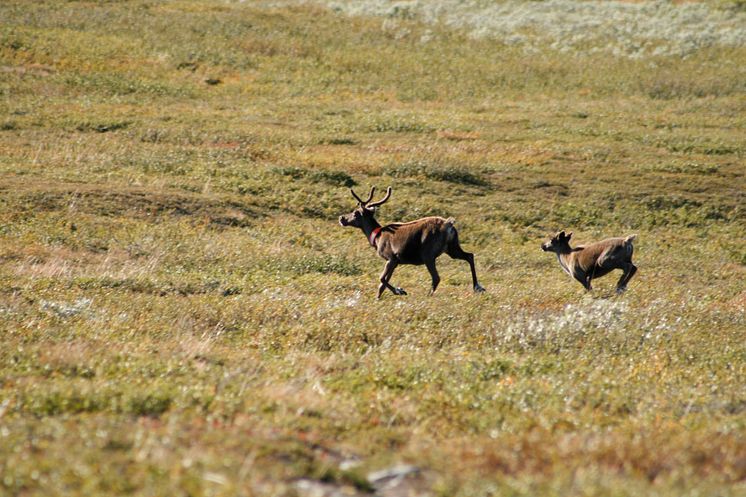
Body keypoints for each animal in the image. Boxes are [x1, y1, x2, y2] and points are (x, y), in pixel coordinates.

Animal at [338, 184, 482, 296]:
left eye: (356, 212)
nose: (342, 218)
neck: (376, 238)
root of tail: (449, 224)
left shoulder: (391, 258)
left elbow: (381, 279)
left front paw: (400, 291)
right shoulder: (395, 262)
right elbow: (381, 285)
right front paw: (378, 298)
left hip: (428, 253)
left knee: (436, 277)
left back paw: (428, 296)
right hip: (452, 248)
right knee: (469, 255)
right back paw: (477, 287)